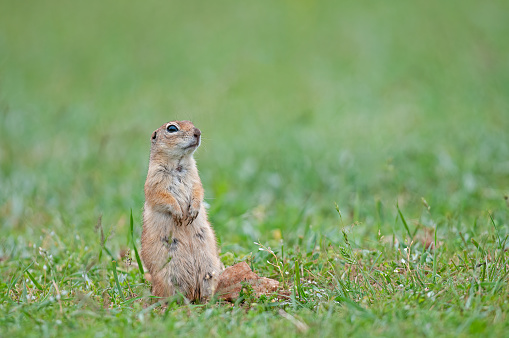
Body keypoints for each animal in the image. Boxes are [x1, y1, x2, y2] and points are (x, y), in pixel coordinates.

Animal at [143, 120, 222, 302]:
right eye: (172, 128)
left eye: (192, 123)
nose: (198, 132)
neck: (178, 164)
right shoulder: (154, 181)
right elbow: (162, 197)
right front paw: (179, 214)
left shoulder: (196, 178)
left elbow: (198, 191)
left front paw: (193, 211)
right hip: (168, 277)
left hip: (209, 271)